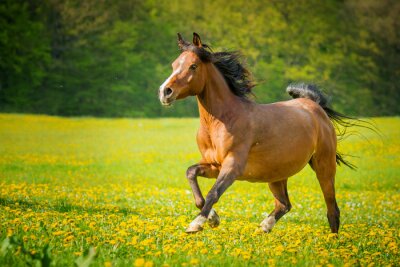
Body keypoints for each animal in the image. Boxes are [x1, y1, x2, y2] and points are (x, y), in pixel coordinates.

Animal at [158, 32, 354, 234]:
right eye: (174, 65)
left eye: (193, 66)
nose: (165, 92)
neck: (221, 121)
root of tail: (316, 107)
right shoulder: (214, 165)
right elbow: (191, 173)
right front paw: (212, 218)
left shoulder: (233, 166)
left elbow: (214, 192)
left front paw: (196, 224)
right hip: (277, 174)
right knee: (284, 204)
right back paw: (264, 227)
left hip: (324, 165)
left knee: (332, 210)